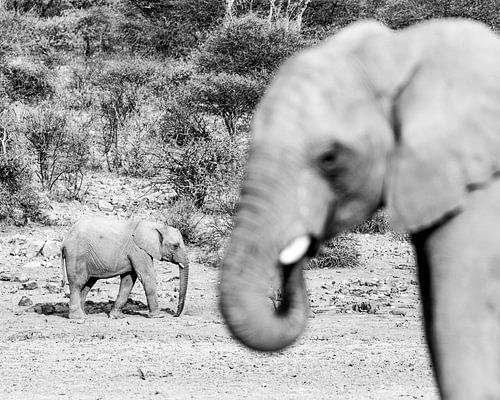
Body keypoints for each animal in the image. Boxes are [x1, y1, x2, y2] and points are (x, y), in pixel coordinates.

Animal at [61, 216, 189, 318]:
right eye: (175, 246)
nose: (175, 315)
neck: (155, 225)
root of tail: (64, 241)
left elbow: (128, 281)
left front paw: (116, 316)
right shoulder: (138, 249)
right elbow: (147, 276)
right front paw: (158, 316)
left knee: (87, 284)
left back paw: (83, 314)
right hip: (77, 254)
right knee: (77, 283)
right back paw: (78, 318)